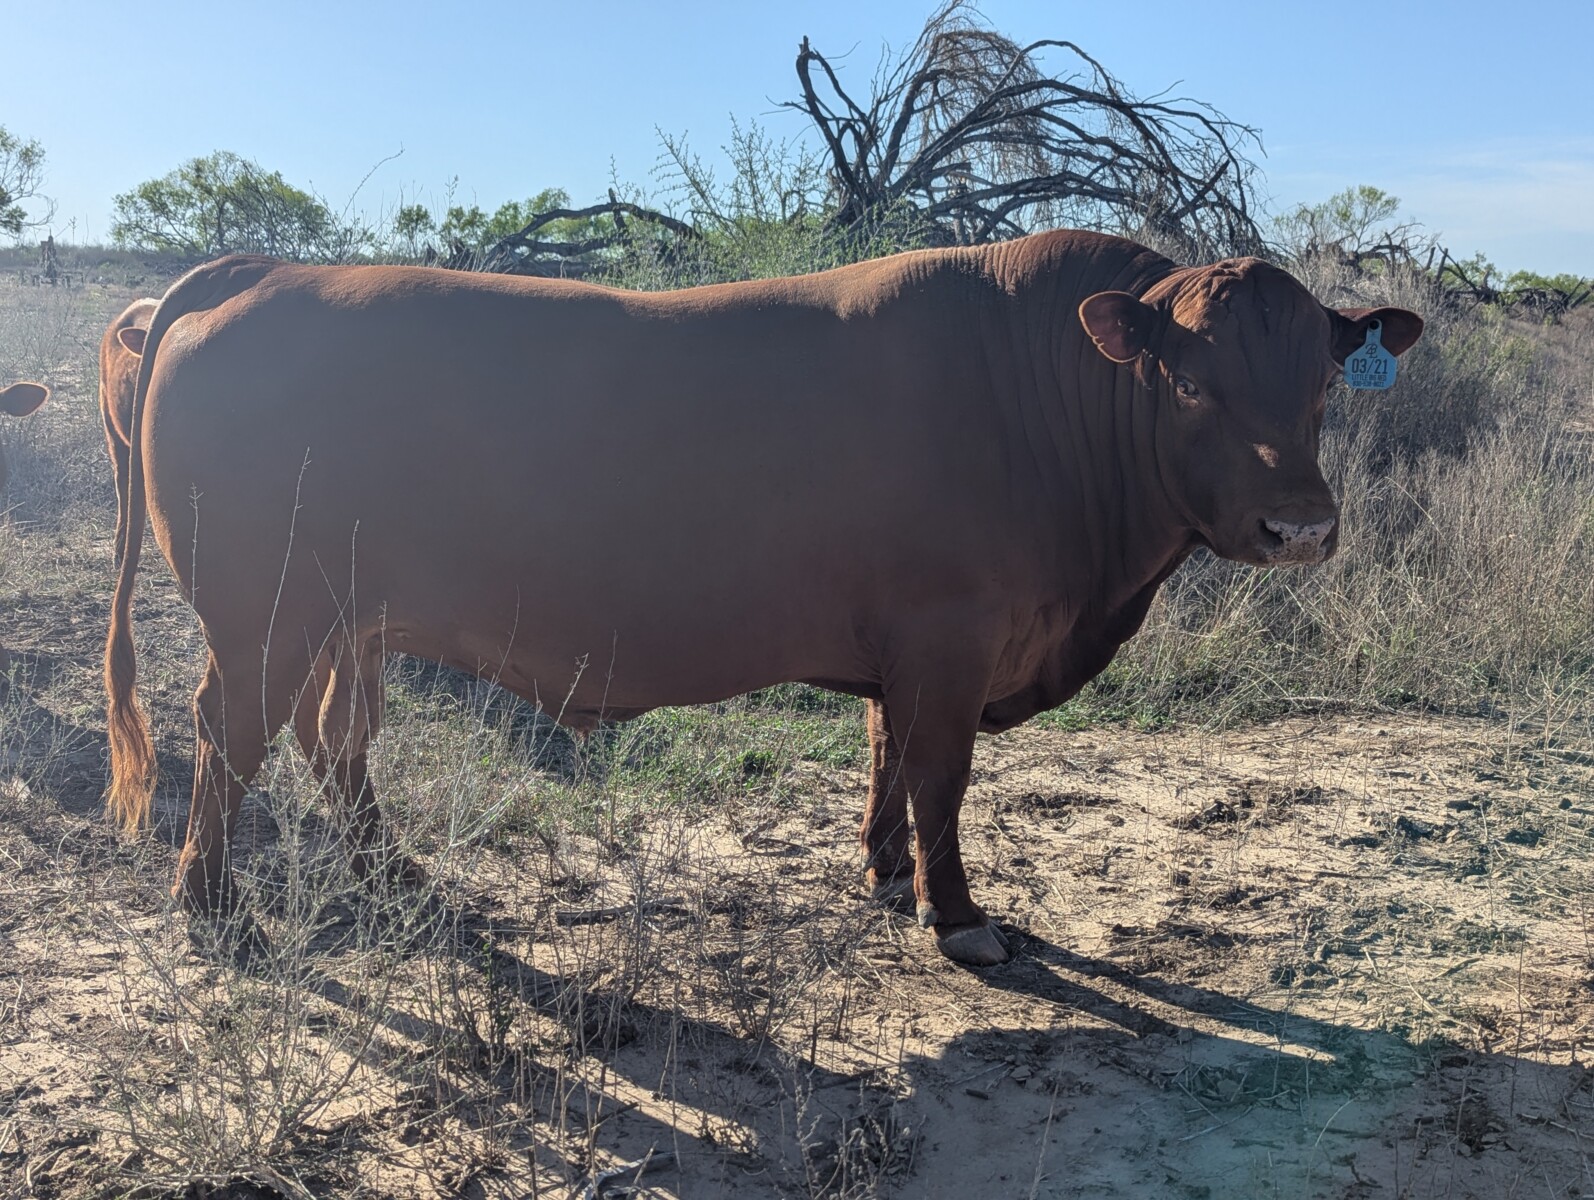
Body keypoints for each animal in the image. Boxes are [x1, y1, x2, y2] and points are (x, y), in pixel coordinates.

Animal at [104, 232, 1422, 965]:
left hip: (348, 618)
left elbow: (888, 756)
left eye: (1320, 383)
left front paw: (885, 873)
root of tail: (263, 272)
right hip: (266, 613)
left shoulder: (908, 647)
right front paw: (957, 914)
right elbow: (941, 775)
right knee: (231, 736)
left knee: (334, 738)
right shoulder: (952, 637)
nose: (1301, 527)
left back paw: (391, 876)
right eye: (1189, 384)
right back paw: (210, 909)